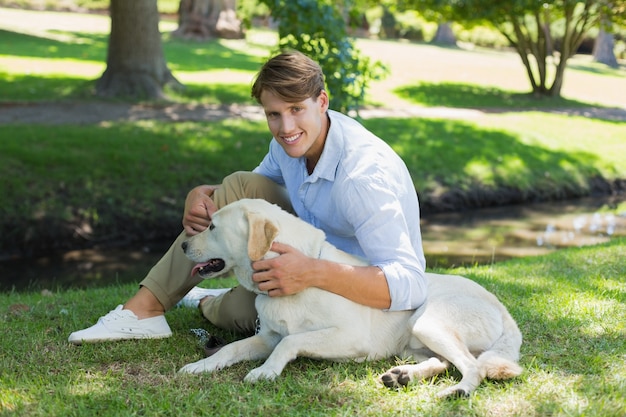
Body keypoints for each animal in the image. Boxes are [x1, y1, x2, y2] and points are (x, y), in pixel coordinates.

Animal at [178, 198, 520, 396]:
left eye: (212, 226)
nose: (182, 245)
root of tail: (503, 310)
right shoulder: (268, 337)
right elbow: (230, 348)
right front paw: (201, 366)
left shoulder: (350, 337)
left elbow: (292, 342)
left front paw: (266, 371)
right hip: (413, 343)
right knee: (444, 362)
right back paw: (403, 376)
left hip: (428, 322)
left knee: (472, 366)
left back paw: (457, 391)